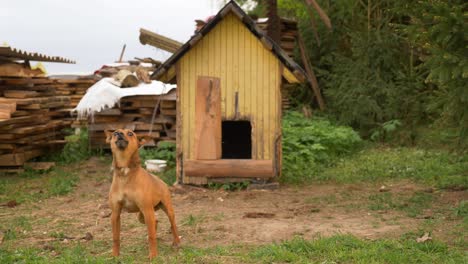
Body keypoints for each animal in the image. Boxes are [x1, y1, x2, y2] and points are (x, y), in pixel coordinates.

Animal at [105, 129, 180, 258]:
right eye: (115, 133)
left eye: (130, 133)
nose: (119, 134)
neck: (125, 172)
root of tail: (160, 181)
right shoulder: (115, 214)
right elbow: (115, 237)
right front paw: (115, 255)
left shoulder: (147, 210)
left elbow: (151, 236)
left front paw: (153, 256)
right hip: (141, 216)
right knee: (155, 222)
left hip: (166, 209)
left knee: (173, 225)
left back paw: (176, 242)